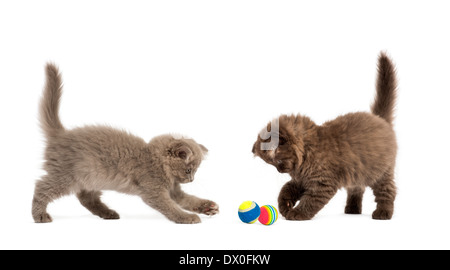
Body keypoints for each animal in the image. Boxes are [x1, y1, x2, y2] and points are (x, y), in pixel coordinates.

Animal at [32, 63, 219, 224]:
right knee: (41, 187)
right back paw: (40, 215)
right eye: (188, 170)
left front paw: (207, 206)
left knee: (86, 198)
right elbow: (171, 207)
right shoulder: (154, 191)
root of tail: (61, 134)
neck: (156, 161)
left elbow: (188, 199)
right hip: (66, 176)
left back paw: (108, 213)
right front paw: (187, 217)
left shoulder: (173, 190)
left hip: (91, 177)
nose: (192, 179)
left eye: (194, 171)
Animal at [253, 52, 398, 219]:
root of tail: (379, 118)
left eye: (277, 160)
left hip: (381, 173)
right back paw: (352, 209)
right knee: (356, 189)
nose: (279, 171)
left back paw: (383, 212)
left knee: (388, 191)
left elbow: (310, 200)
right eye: (271, 164)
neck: (308, 150)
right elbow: (286, 189)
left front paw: (297, 213)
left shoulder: (322, 183)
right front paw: (285, 205)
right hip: (357, 173)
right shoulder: (301, 180)